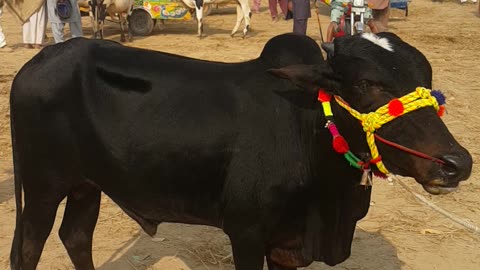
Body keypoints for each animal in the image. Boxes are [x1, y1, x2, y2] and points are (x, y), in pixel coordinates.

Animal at [8, 32, 472, 268]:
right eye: (367, 84)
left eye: (428, 80)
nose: (456, 163)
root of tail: (41, 59)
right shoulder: (246, 232)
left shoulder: (287, 244)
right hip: (43, 185)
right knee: (29, 247)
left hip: (88, 183)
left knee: (76, 236)